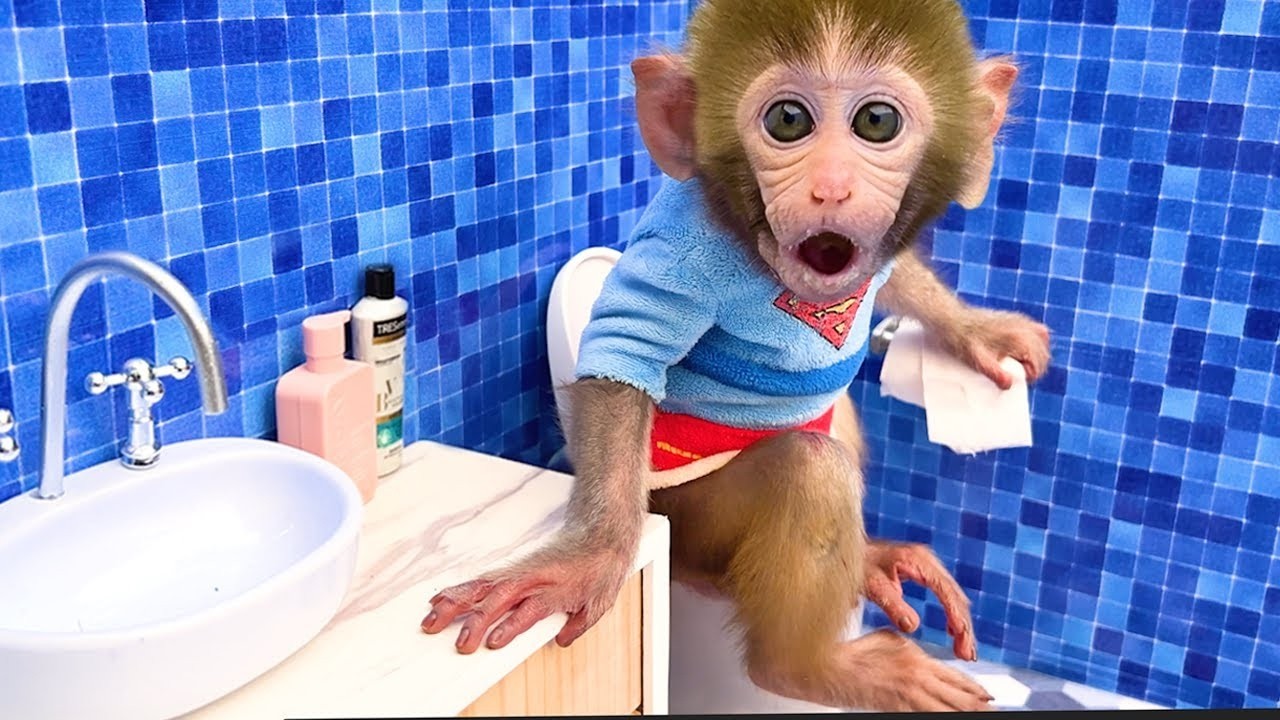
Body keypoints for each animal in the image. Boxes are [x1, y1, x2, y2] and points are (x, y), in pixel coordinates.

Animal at [422, 0, 1052, 712]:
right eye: (788, 121)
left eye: (877, 122)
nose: (832, 189)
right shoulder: (688, 246)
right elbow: (627, 345)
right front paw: (589, 558)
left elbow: (891, 274)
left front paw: (979, 331)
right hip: (689, 525)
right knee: (810, 471)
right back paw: (806, 667)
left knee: (835, 414)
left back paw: (870, 560)